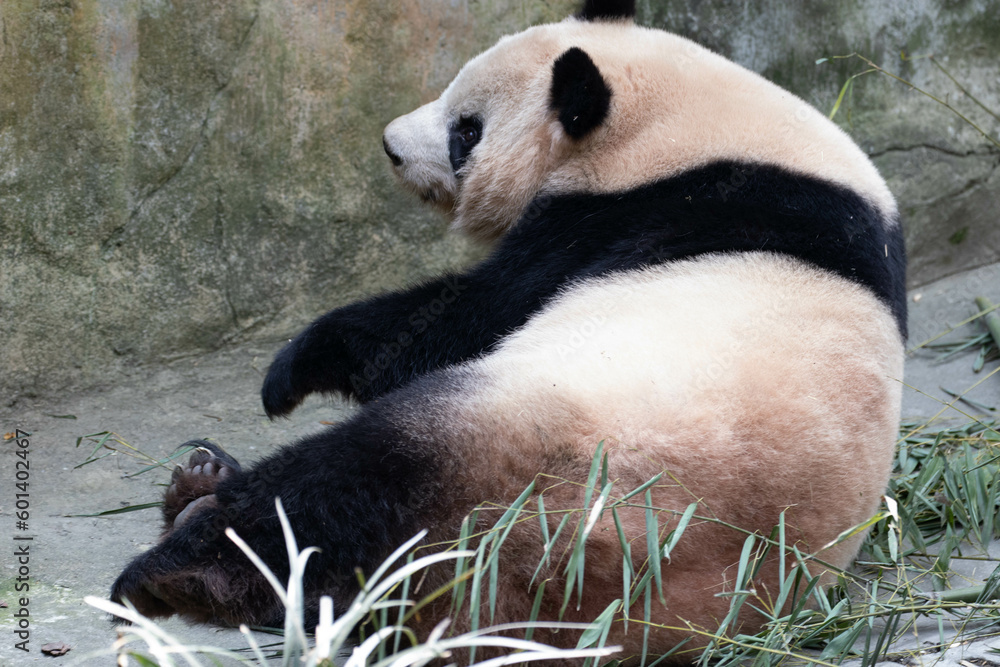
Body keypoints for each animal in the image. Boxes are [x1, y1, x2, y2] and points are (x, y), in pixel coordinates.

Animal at [110, 0, 907, 662]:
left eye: (467, 129)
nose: (390, 145)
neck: (690, 126)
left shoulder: (622, 215)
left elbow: (455, 320)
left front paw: (292, 369)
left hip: (509, 439)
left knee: (340, 490)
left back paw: (179, 562)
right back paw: (201, 488)